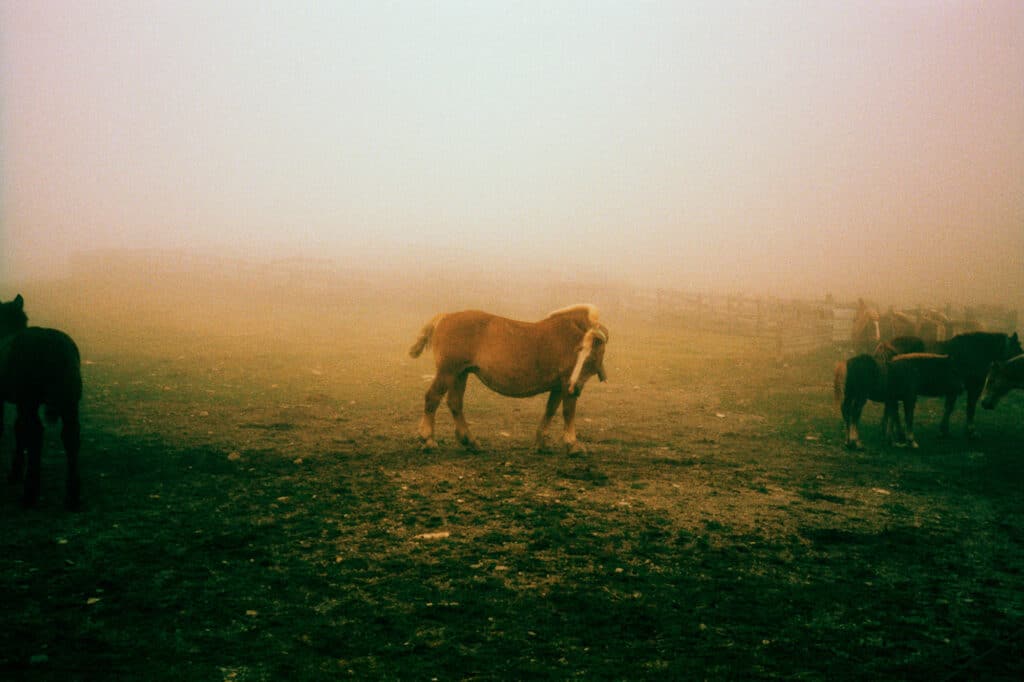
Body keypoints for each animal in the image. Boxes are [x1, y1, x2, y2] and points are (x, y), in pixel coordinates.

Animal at [409, 303, 606, 450]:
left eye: (591, 357)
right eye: (579, 352)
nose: (575, 387)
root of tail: (445, 317)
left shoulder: (559, 386)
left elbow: (550, 410)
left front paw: (541, 442)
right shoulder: (565, 384)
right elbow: (568, 411)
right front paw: (572, 444)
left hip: (460, 374)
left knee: (455, 403)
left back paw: (469, 441)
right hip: (448, 372)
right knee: (433, 398)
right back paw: (428, 439)